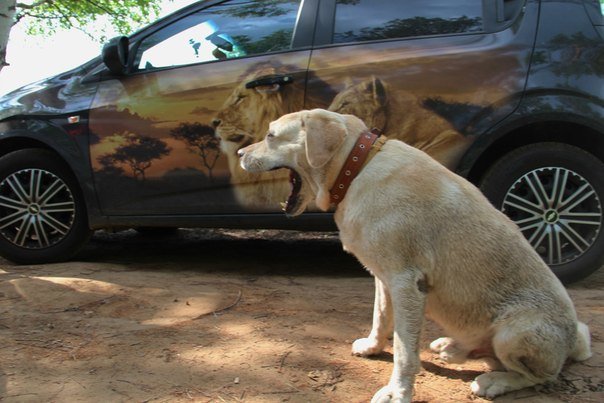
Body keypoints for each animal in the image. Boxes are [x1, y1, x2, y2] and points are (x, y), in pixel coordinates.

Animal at [238, 109, 592, 402]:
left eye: (270, 135)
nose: (240, 153)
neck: (356, 168)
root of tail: (573, 340)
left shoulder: (406, 282)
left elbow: (404, 351)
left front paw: (397, 392)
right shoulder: (383, 278)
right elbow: (380, 317)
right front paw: (372, 347)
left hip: (514, 332)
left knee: (540, 375)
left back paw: (493, 382)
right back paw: (451, 348)